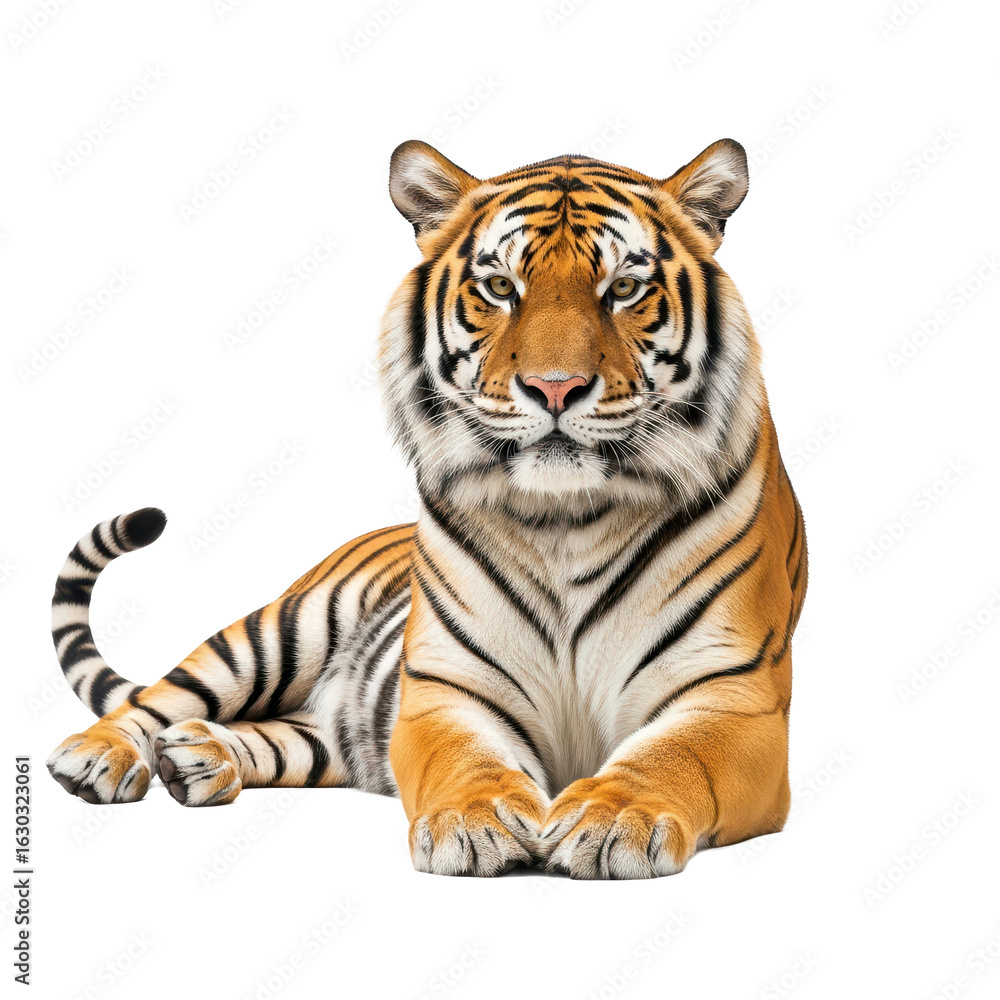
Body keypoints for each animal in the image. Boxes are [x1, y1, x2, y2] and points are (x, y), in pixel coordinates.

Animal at [47, 137, 807, 879]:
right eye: (500, 288)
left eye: (623, 289)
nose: (554, 388)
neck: (567, 519)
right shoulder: (443, 689)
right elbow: (464, 758)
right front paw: (474, 822)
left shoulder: (733, 697)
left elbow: (669, 756)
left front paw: (614, 817)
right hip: (275, 634)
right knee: (155, 700)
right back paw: (97, 756)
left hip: (324, 734)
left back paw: (198, 758)